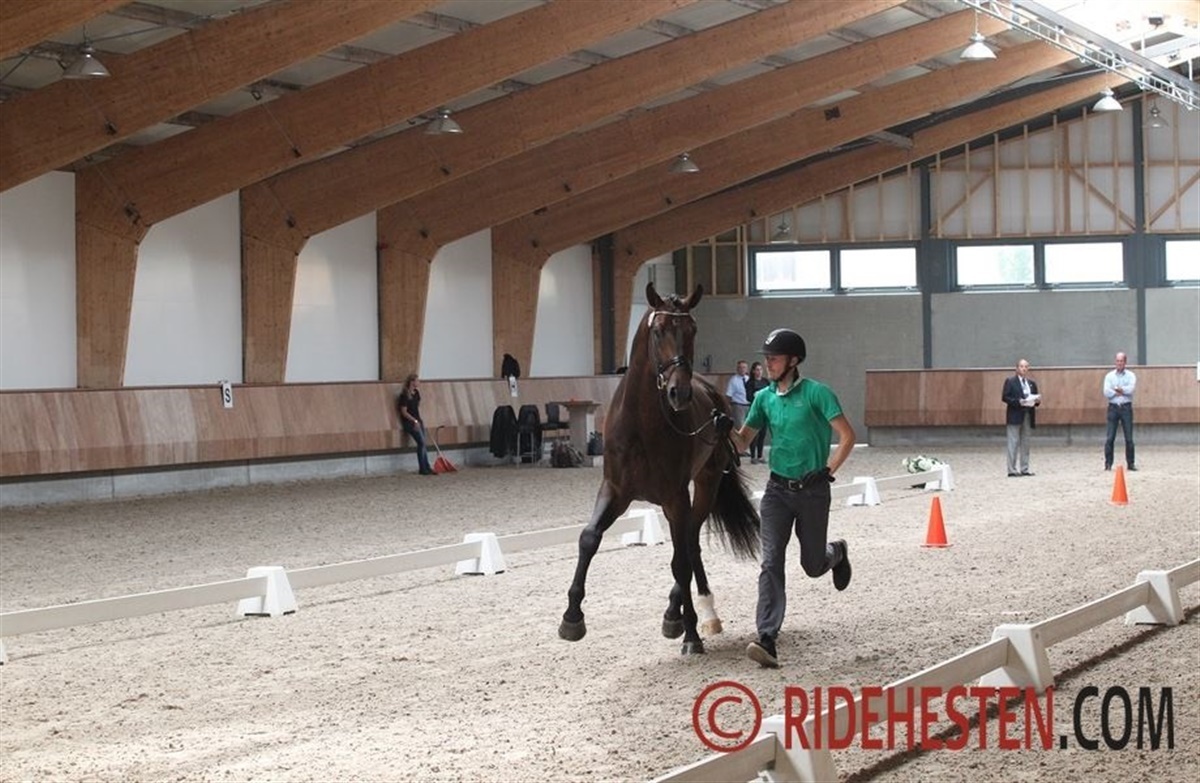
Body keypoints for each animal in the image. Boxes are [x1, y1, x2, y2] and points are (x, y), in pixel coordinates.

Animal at [558, 282, 760, 655]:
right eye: (658, 331)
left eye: (692, 329)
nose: (679, 392)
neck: (641, 423)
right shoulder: (615, 490)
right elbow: (589, 538)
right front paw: (572, 618)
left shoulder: (675, 497)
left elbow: (679, 562)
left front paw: (689, 632)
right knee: (688, 545)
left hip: (706, 483)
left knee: (689, 545)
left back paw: (689, 616)